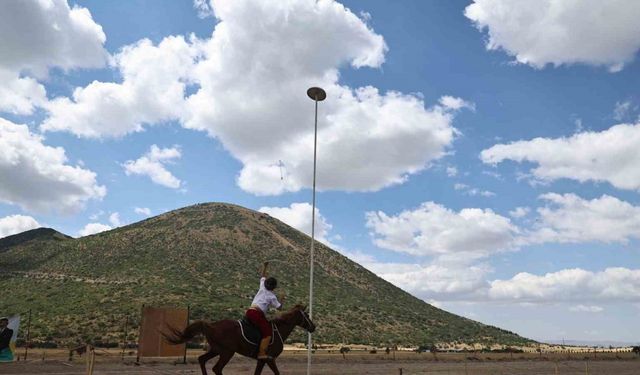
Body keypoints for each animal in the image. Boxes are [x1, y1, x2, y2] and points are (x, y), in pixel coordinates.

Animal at [164, 306, 316, 375]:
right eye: (306, 315)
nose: (313, 327)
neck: (278, 329)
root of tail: (211, 325)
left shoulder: (262, 360)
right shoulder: (270, 358)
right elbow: (277, 373)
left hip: (216, 350)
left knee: (202, 360)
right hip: (226, 352)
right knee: (217, 368)